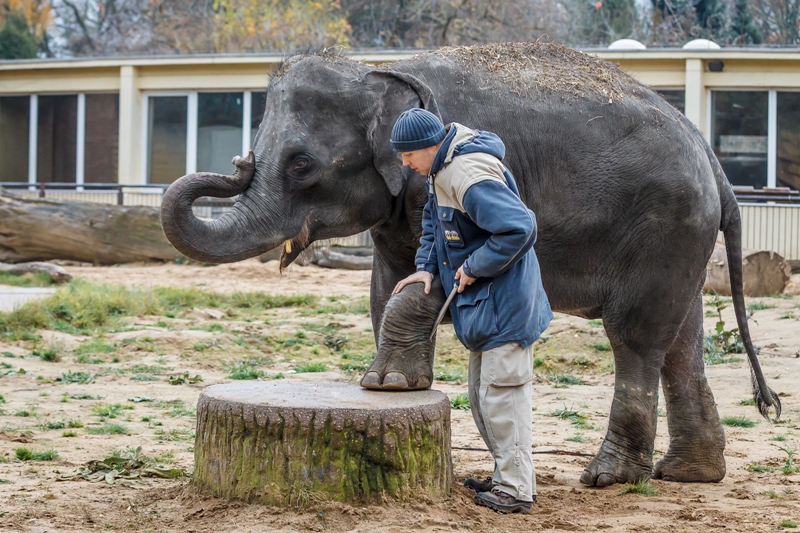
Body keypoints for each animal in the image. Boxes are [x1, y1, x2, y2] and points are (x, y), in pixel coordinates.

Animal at [161, 41, 780, 486]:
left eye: (301, 164)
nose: (236, 164)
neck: (382, 70)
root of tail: (713, 161)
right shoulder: (397, 207)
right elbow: (391, 280)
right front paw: (391, 385)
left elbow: (437, 267)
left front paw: (386, 385)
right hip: (681, 239)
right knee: (683, 340)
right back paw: (688, 475)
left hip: (663, 229)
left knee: (637, 338)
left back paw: (609, 477)